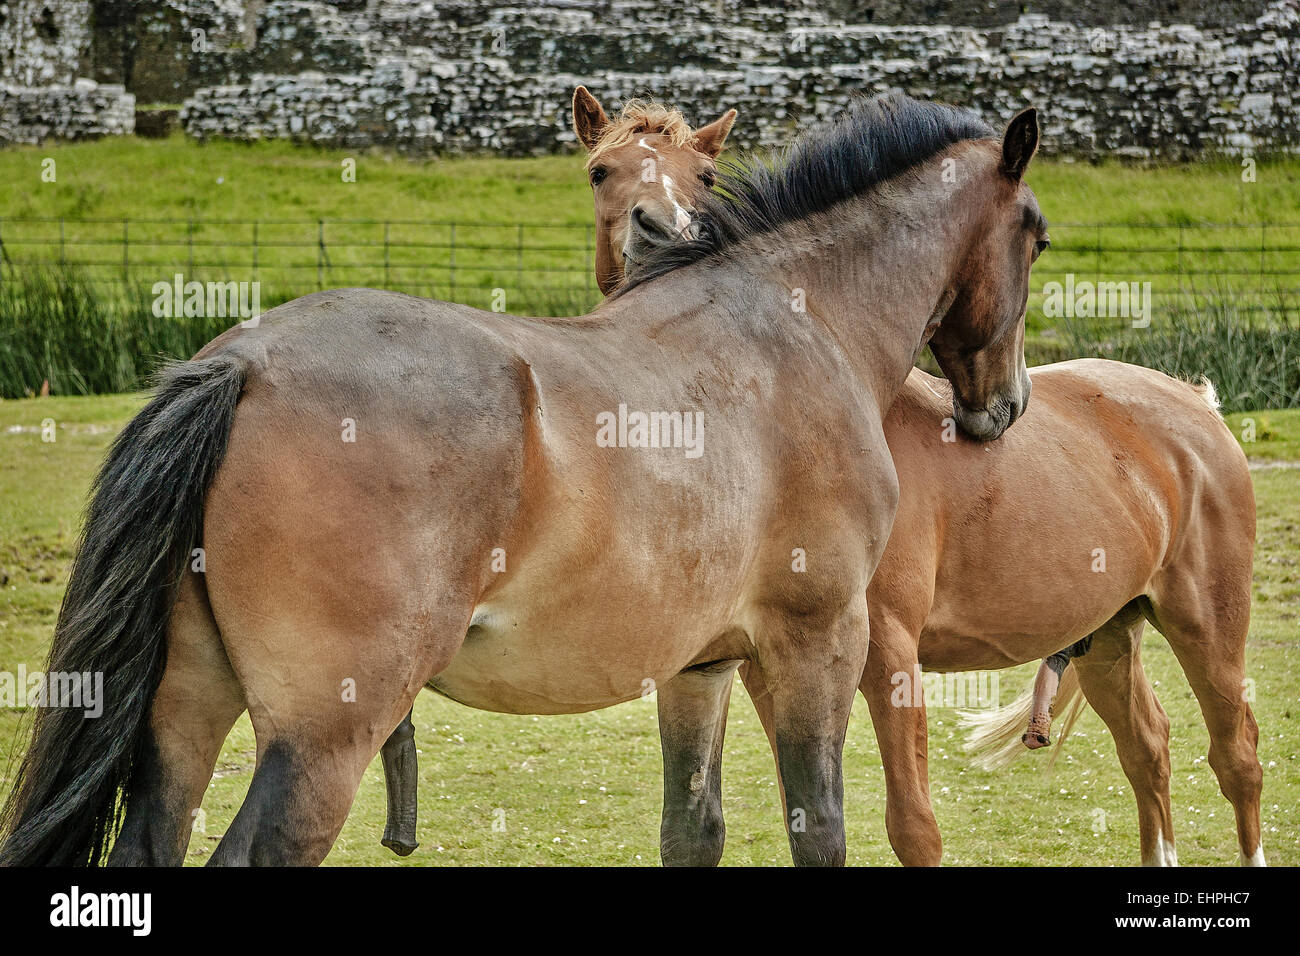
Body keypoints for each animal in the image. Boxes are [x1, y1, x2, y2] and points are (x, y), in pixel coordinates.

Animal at [0, 91, 1040, 868]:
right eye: (1036, 236)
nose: (1008, 406)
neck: (792, 325)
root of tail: (242, 364)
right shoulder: (818, 642)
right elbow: (819, 828)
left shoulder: (697, 669)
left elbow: (691, 830)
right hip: (324, 741)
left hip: (186, 714)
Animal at [577, 93, 1258, 863]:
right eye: (602, 171)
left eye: (706, 176)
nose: (659, 233)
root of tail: (1193, 400)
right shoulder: (767, 665)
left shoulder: (885, 654)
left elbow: (913, 827)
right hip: (1109, 635)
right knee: (1149, 748)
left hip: (1207, 629)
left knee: (1237, 759)